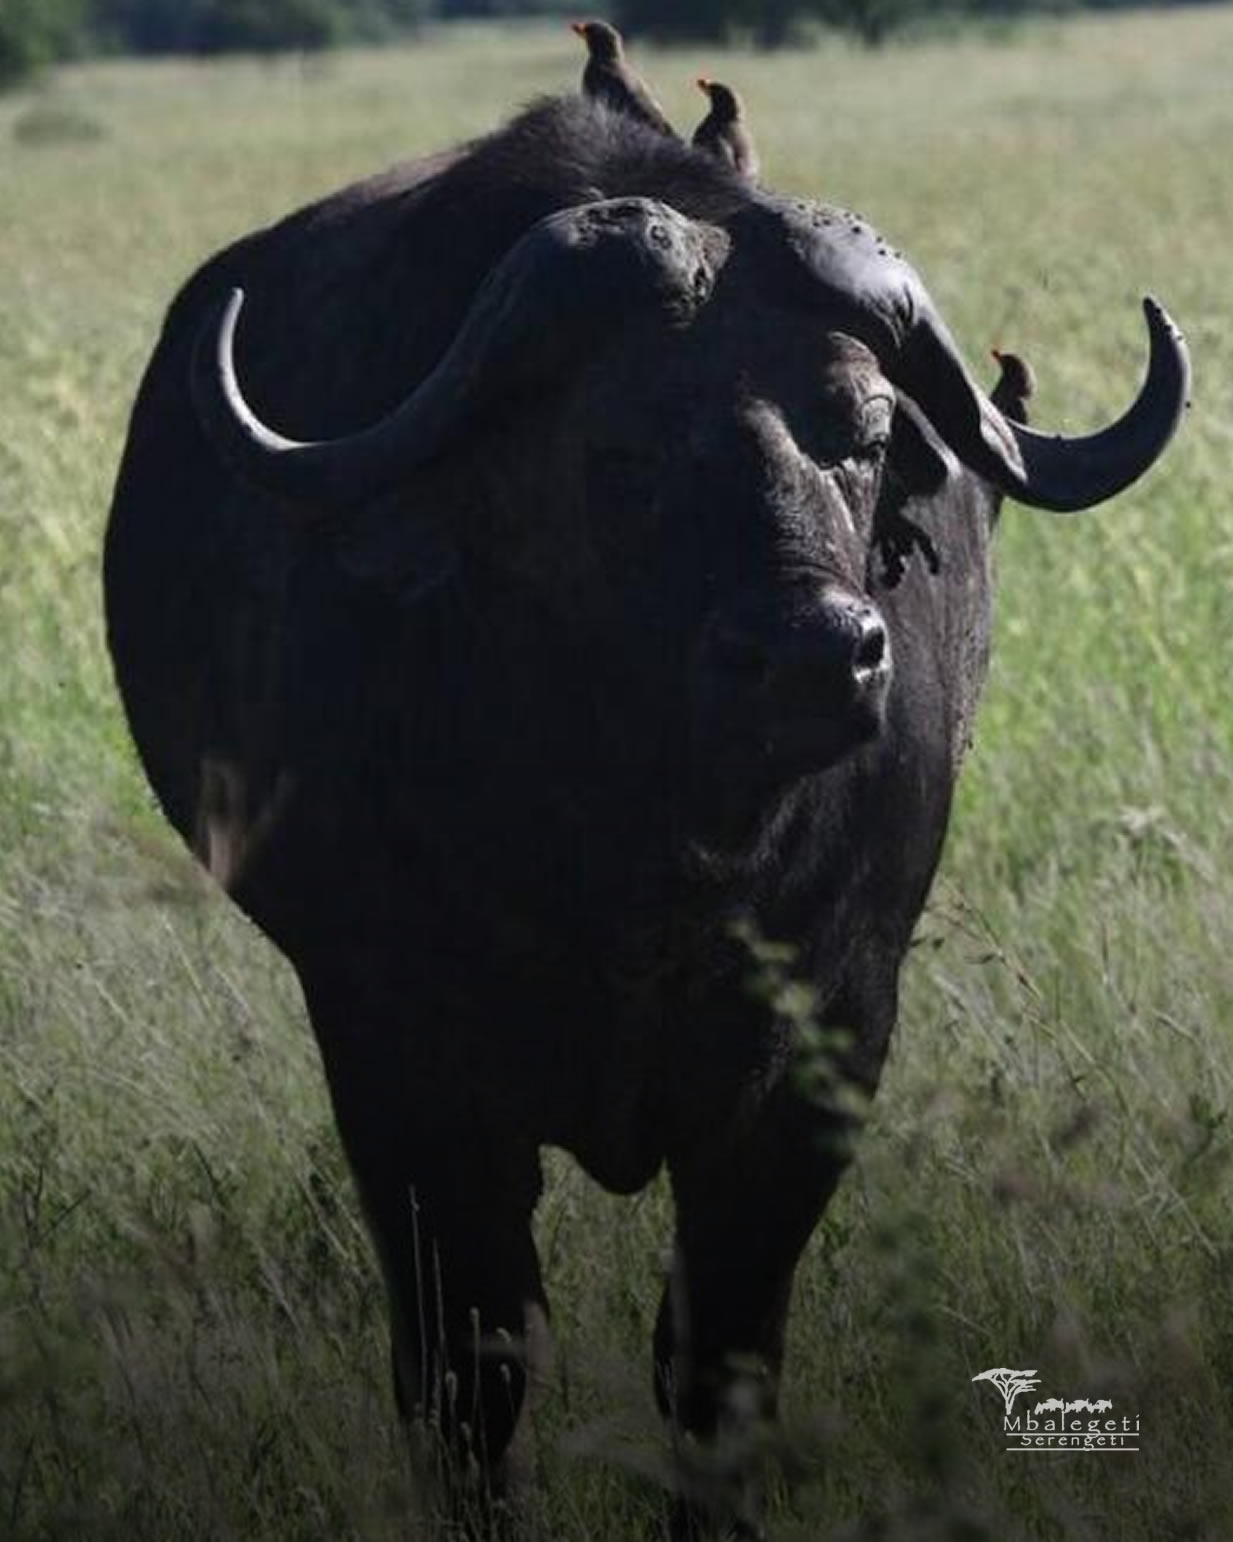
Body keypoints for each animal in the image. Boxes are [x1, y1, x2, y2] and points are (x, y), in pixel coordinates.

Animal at [103, 92, 1189, 1534]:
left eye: (858, 431)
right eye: (618, 450)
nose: (812, 656)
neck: (646, 856)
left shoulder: (827, 1043)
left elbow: (717, 1354)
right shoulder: (393, 1053)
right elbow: (471, 1362)